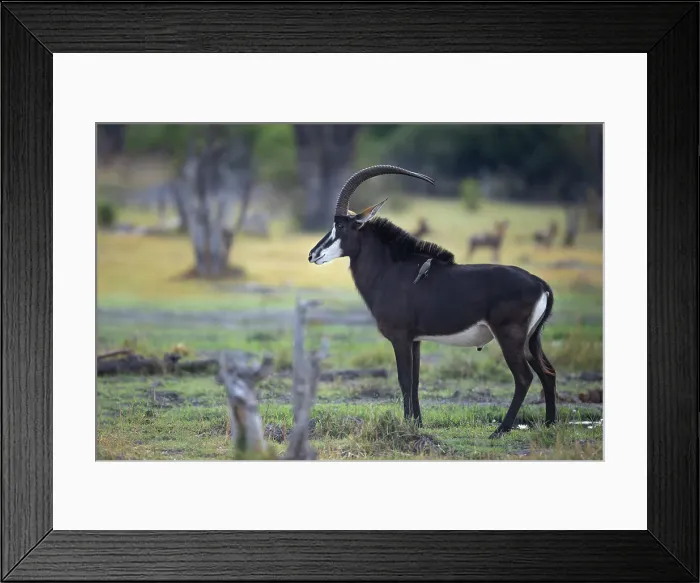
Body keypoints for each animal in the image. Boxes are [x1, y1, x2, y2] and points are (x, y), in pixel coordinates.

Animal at [308, 166, 557, 438]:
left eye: (341, 226)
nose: (313, 254)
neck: (390, 269)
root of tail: (540, 284)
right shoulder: (415, 340)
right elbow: (416, 380)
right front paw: (417, 423)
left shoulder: (400, 337)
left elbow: (404, 379)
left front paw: (407, 424)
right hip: (532, 340)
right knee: (548, 372)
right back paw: (549, 424)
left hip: (510, 337)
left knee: (524, 377)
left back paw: (501, 430)